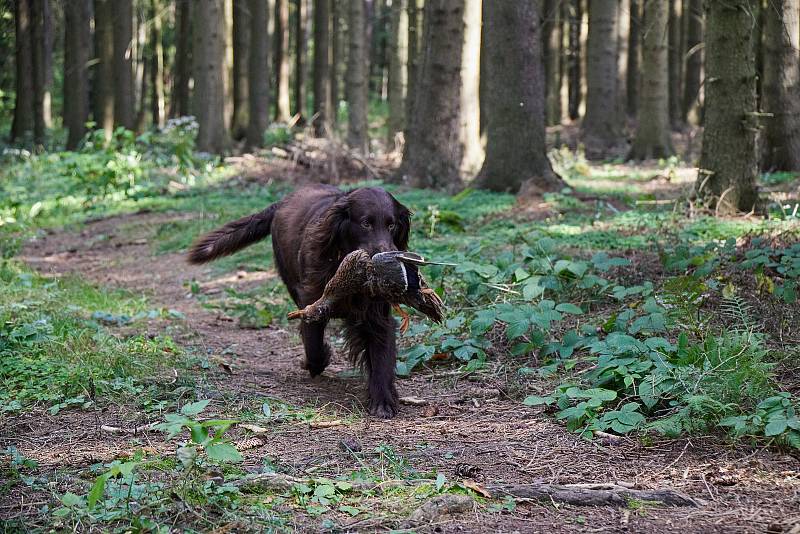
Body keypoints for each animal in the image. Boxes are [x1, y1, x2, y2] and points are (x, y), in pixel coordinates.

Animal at [188, 186, 412, 420]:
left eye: (392, 225)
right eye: (366, 223)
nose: (389, 259)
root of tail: (284, 200)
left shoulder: (377, 316)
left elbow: (381, 358)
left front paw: (383, 401)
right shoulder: (312, 303)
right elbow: (313, 346)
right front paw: (318, 361)